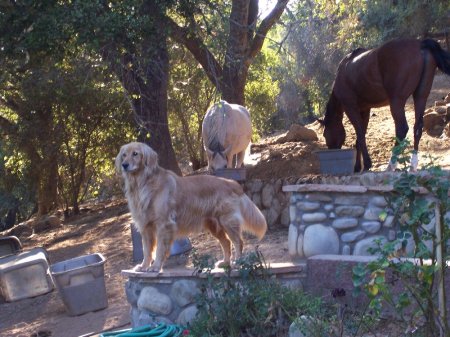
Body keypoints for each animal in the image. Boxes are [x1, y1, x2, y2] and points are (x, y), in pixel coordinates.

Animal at [116, 140, 268, 272]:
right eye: (124, 154)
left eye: (135, 154)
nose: (124, 164)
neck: (142, 183)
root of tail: (232, 183)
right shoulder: (145, 226)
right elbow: (146, 250)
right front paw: (143, 266)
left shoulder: (164, 224)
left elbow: (159, 249)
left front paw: (156, 267)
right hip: (214, 225)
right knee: (226, 242)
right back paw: (225, 263)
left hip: (227, 221)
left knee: (238, 242)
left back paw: (238, 263)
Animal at [320, 38, 450, 172]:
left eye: (324, 134)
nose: (332, 149)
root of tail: (420, 44)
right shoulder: (364, 110)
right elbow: (360, 137)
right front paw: (358, 167)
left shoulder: (351, 108)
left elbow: (360, 135)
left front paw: (366, 165)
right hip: (420, 96)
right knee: (417, 128)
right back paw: (412, 166)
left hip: (397, 102)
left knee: (402, 129)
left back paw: (391, 165)